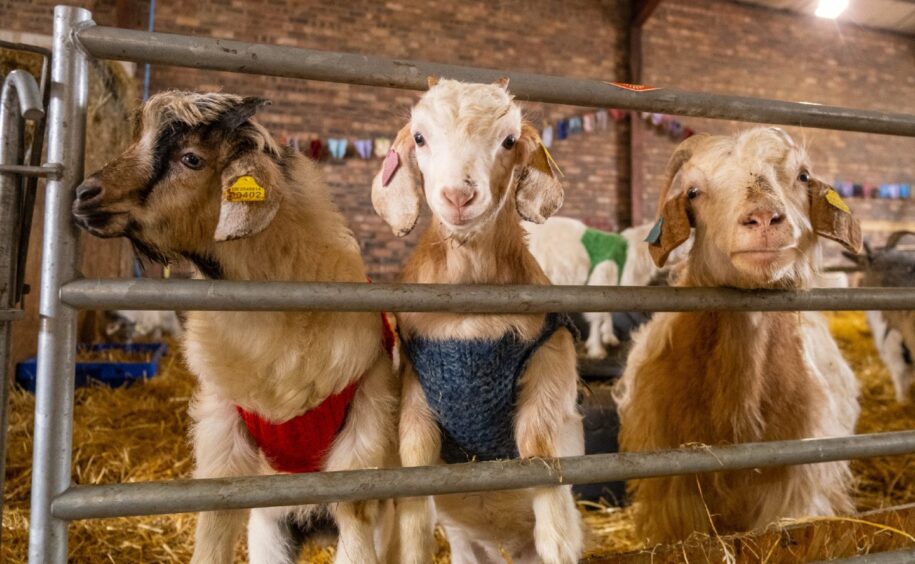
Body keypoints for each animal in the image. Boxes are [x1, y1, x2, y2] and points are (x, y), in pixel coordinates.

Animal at [374, 79, 584, 564]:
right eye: (419, 138)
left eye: (508, 141)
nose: (458, 195)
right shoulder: (416, 380)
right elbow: (414, 464)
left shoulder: (550, 354)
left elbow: (538, 445)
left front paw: (556, 540)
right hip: (465, 542)